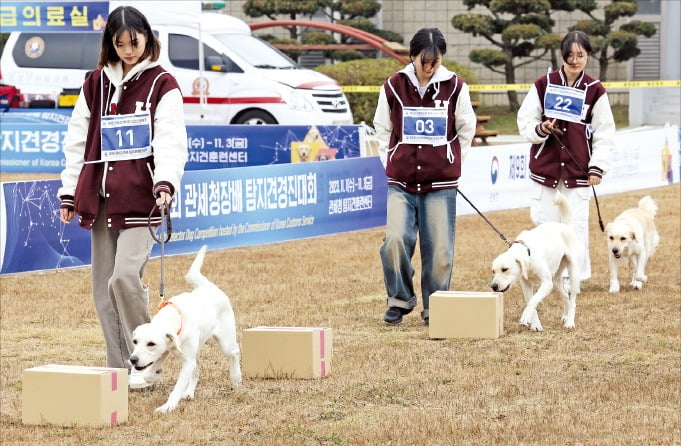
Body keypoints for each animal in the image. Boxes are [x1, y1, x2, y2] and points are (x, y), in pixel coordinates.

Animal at [129, 246, 242, 412]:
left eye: (151, 344)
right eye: (135, 341)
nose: (133, 359)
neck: (174, 318)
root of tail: (210, 287)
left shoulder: (186, 360)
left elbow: (177, 388)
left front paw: (167, 407)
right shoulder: (166, 351)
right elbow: (147, 374)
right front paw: (157, 374)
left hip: (225, 344)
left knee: (235, 351)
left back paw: (236, 377)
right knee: (196, 372)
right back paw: (189, 393)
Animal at [492, 192, 580, 332]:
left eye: (505, 269)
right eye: (493, 271)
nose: (493, 286)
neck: (528, 252)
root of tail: (565, 226)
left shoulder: (546, 283)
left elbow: (533, 300)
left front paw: (525, 316)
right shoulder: (526, 284)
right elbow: (531, 302)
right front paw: (535, 324)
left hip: (573, 274)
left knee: (573, 300)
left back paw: (570, 322)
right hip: (555, 280)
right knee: (566, 295)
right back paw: (565, 317)